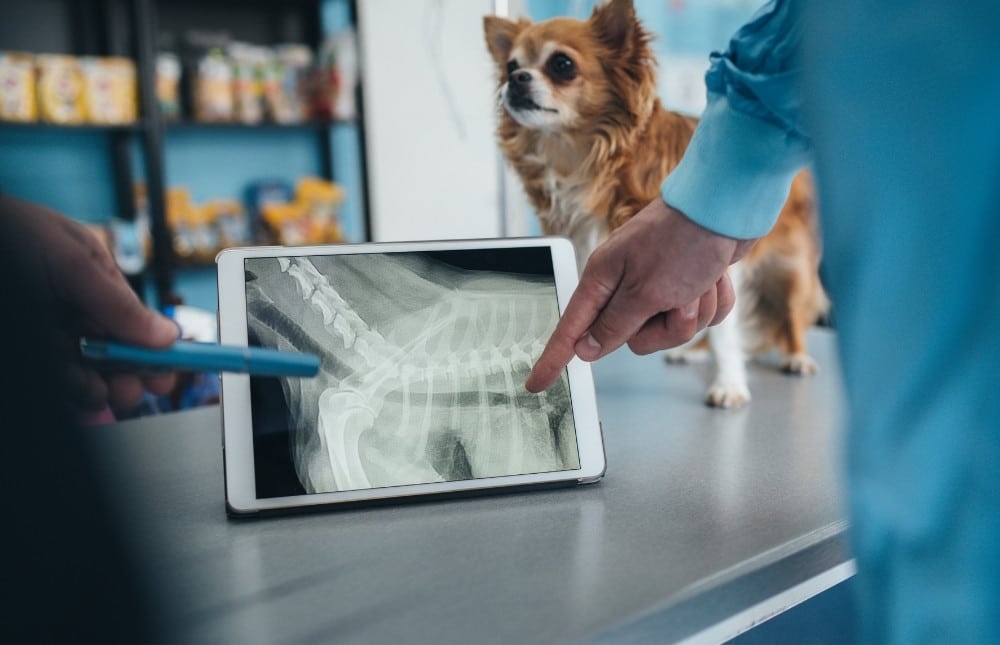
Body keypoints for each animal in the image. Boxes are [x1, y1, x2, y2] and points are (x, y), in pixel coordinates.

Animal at [484, 0, 828, 408]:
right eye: (510, 65)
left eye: (562, 64)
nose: (516, 79)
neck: (582, 161)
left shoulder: (712, 266)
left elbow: (726, 336)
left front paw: (729, 384)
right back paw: (691, 351)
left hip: (792, 270)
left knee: (791, 317)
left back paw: (796, 356)